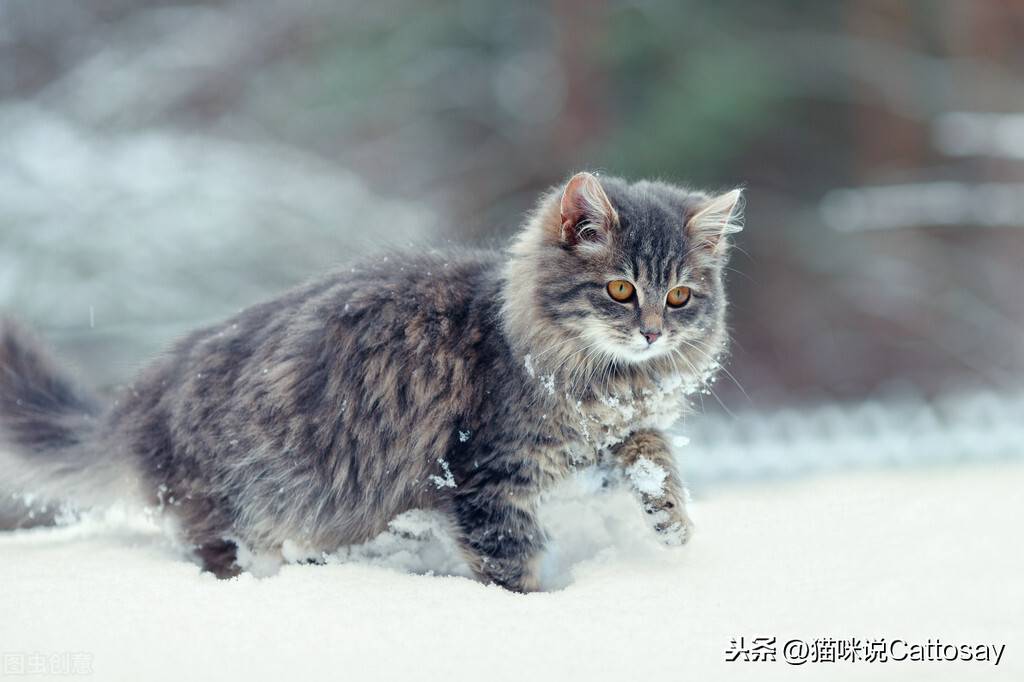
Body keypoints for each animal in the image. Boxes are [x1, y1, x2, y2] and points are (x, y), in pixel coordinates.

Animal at [0, 171, 741, 589]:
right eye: (620, 289)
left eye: (679, 297)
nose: (653, 332)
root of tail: (139, 400)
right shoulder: (486, 477)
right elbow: (514, 564)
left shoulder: (605, 440)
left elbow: (652, 450)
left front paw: (671, 520)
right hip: (236, 506)